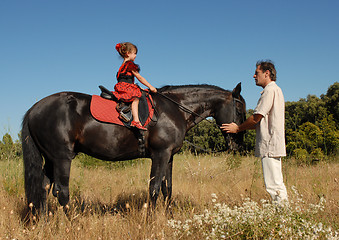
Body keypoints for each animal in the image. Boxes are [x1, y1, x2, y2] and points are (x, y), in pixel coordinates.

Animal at [21, 83, 246, 212]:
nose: (238, 144)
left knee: (42, 189)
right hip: (62, 158)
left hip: (50, 159)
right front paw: (151, 221)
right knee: (62, 192)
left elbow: (167, 189)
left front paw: (168, 217)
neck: (173, 109)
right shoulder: (160, 155)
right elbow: (154, 189)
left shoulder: (169, 157)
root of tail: (34, 109)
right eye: (239, 109)